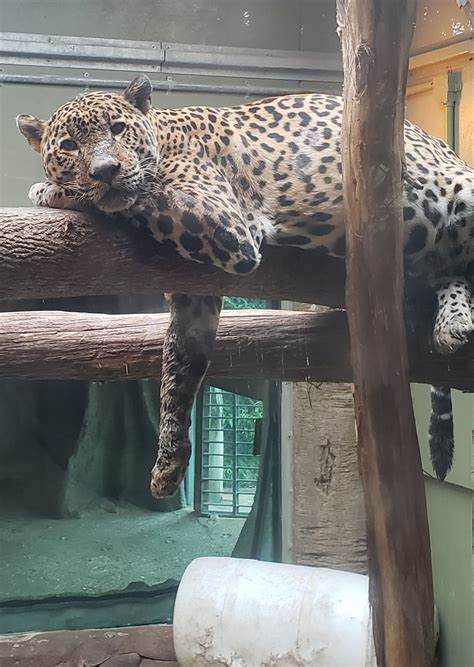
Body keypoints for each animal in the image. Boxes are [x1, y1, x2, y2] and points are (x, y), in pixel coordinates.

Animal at [16, 74, 474, 496]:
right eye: (69, 146)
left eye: (117, 128)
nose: (105, 171)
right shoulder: (194, 297)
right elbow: (178, 371)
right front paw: (169, 461)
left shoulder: (226, 224)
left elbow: (139, 196)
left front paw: (53, 190)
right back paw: (452, 323)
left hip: (461, 187)